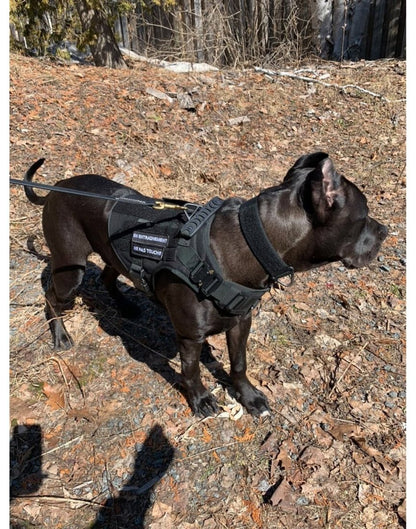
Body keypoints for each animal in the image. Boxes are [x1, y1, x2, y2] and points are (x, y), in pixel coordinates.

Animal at [22, 153, 386, 416]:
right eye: (365, 215)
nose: (385, 231)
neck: (252, 242)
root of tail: (57, 188)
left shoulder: (240, 323)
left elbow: (238, 364)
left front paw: (248, 396)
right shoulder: (190, 336)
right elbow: (191, 370)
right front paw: (200, 399)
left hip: (110, 252)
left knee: (109, 275)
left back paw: (125, 305)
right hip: (71, 269)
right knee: (51, 297)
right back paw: (60, 335)